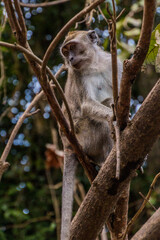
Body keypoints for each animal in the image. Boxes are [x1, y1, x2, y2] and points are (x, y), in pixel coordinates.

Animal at [59, 30, 122, 240]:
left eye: (72, 47)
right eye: (65, 51)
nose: (69, 59)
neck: (94, 63)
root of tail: (67, 144)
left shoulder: (113, 63)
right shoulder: (77, 75)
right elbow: (87, 105)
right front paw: (116, 119)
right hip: (84, 137)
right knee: (100, 121)